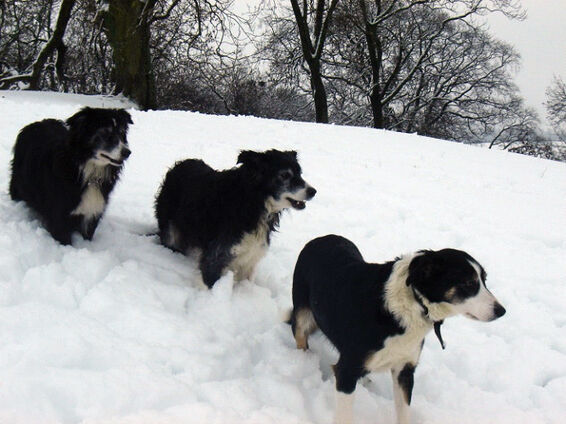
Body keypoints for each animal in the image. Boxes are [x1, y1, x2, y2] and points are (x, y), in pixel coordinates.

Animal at [8, 107, 133, 245]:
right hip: (18, 181)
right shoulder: (59, 215)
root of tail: (36, 123)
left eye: (121, 133)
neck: (88, 173)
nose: (127, 152)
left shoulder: (92, 213)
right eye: (105, 133)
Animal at [155, 149, 318, 288]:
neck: (254, 202)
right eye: (285, 175)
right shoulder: (216, 257)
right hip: (170, 229)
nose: (313, 191)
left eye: (300, 174)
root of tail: (180, 164)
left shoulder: (249, 258)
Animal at [290, 234, 508, 424]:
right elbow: (344, 416)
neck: (413, 305)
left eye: (484, 280)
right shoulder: (347, 372)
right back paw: (304, 361)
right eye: (469, 283)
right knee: (300, 336)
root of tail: (323, 238)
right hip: (302, 314)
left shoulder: (405, 369)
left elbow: (403, 412)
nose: (502, 311)